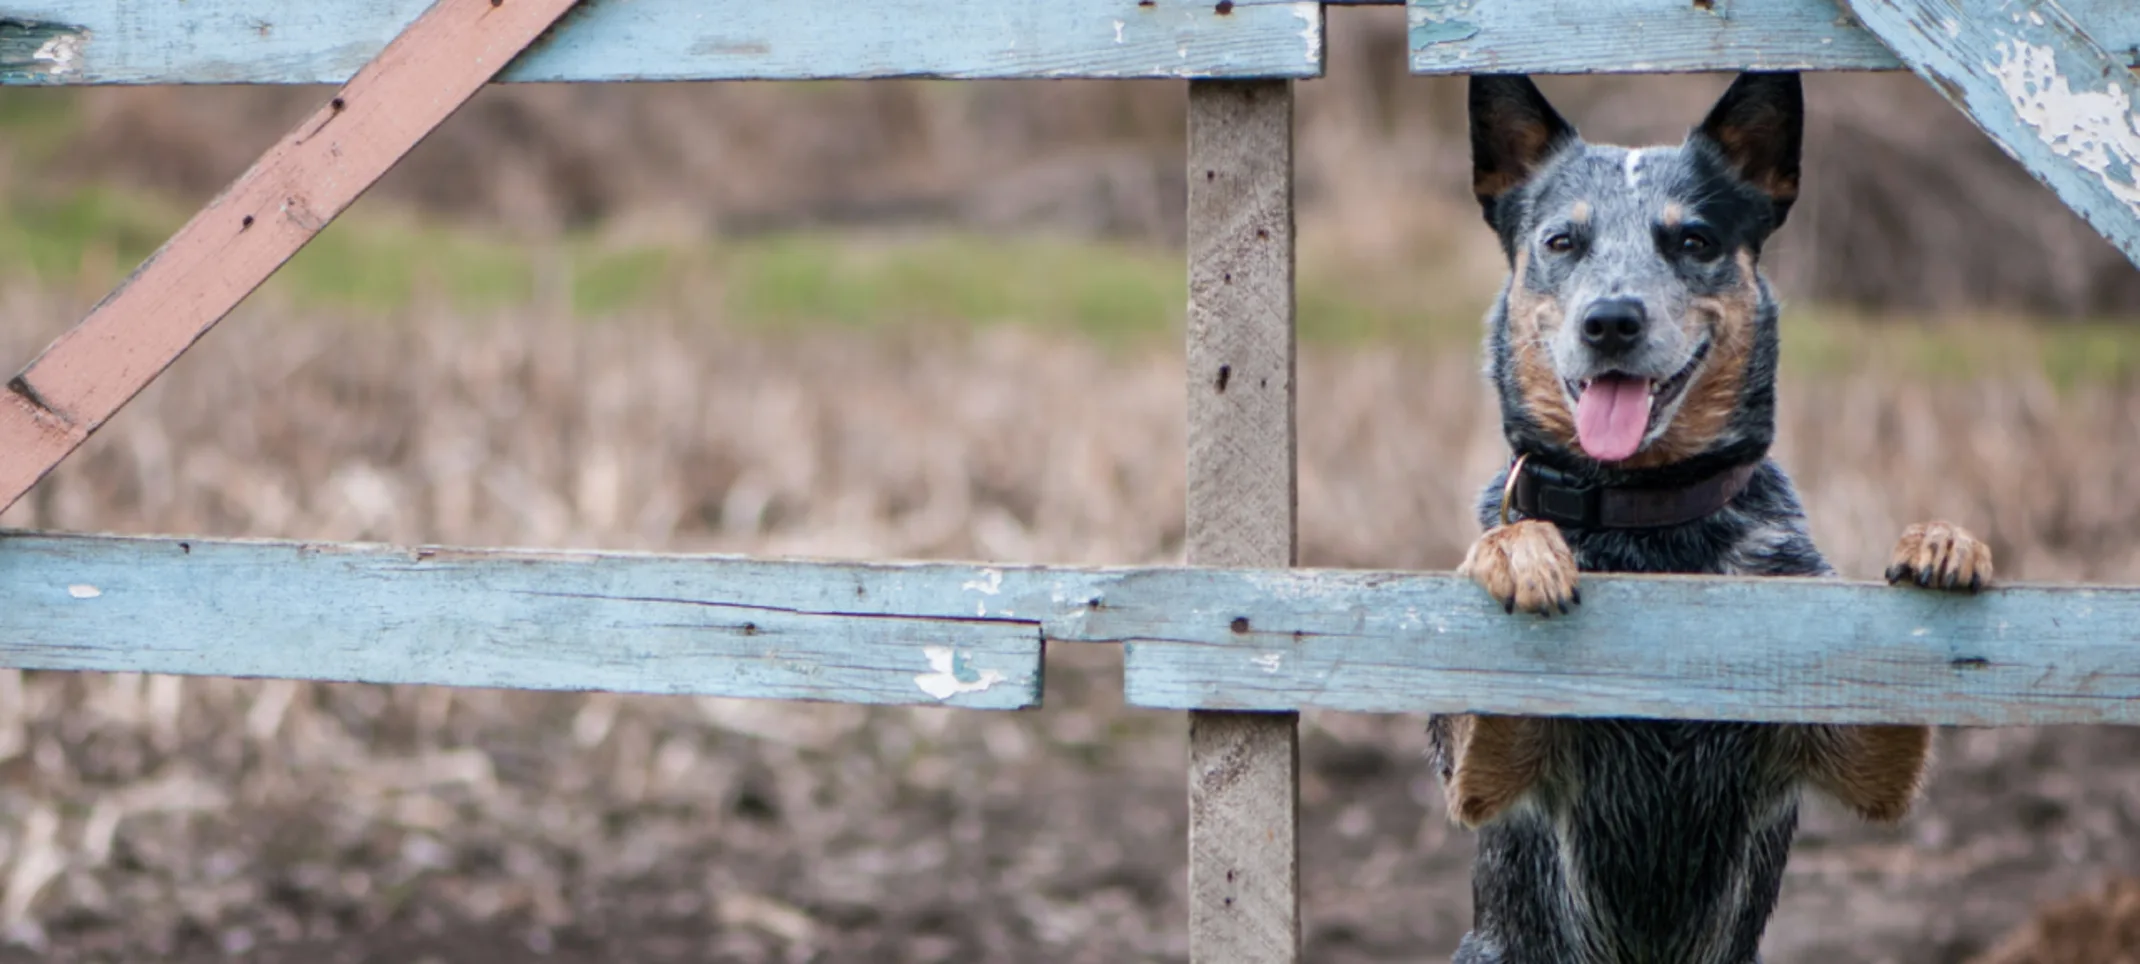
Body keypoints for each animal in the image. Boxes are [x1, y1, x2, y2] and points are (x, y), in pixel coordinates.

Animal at [1429, 73, 1994, 964]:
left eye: (1693, 241)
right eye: (1562, 241)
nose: (1612, 320)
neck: (1650, 523)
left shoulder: (1845, 750)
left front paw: (1942, 539)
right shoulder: (1487, 777)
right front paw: (1519, 549)